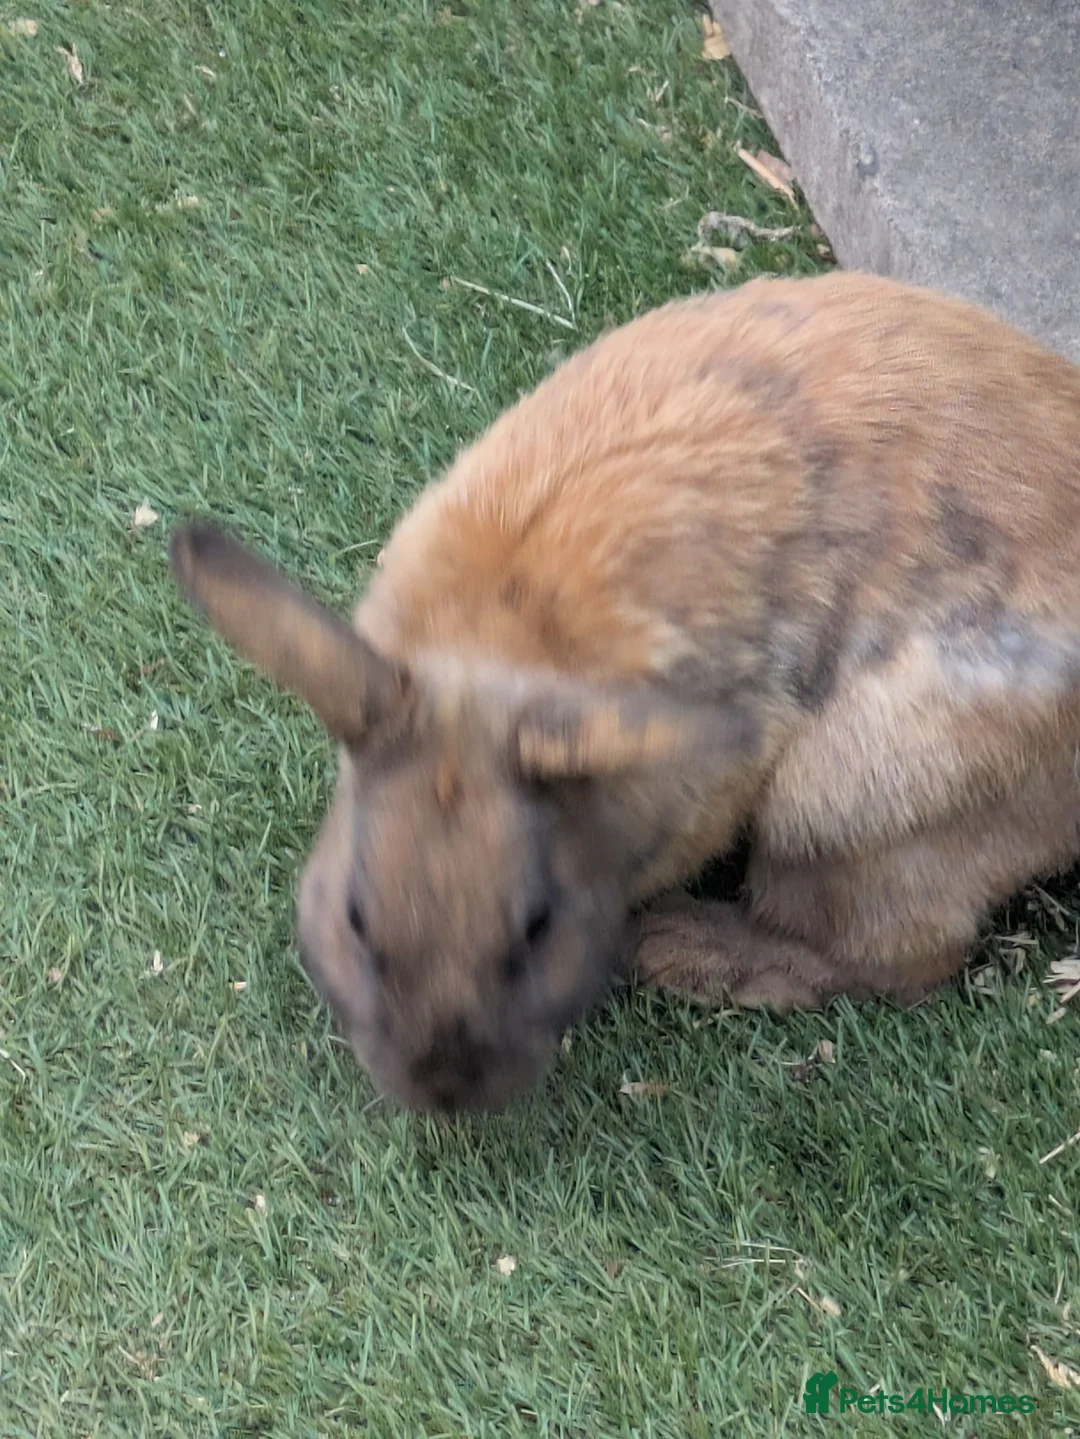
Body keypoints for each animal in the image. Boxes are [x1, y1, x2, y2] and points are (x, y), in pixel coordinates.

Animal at [169, 269, 1080, 1114]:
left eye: (536, 925)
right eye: (357, 919)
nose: (445, 1090)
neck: (497, 644)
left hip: (845, 799)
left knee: (897, 956)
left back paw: (685, 947)